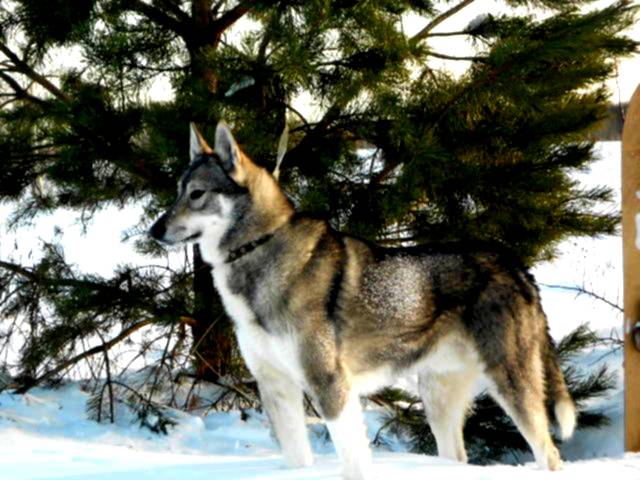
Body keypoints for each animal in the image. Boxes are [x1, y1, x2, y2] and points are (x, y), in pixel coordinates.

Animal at [150, 122, 576, 478]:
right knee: (457, 456)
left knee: (549, 452)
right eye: (177, 191)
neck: (260, 249)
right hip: (438, 398)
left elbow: (353, 458)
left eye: (197, 194)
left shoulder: (330, 385)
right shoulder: (277, 388)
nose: (154, 230)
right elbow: (296, 457)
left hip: (511, 383)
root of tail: (515, 266)